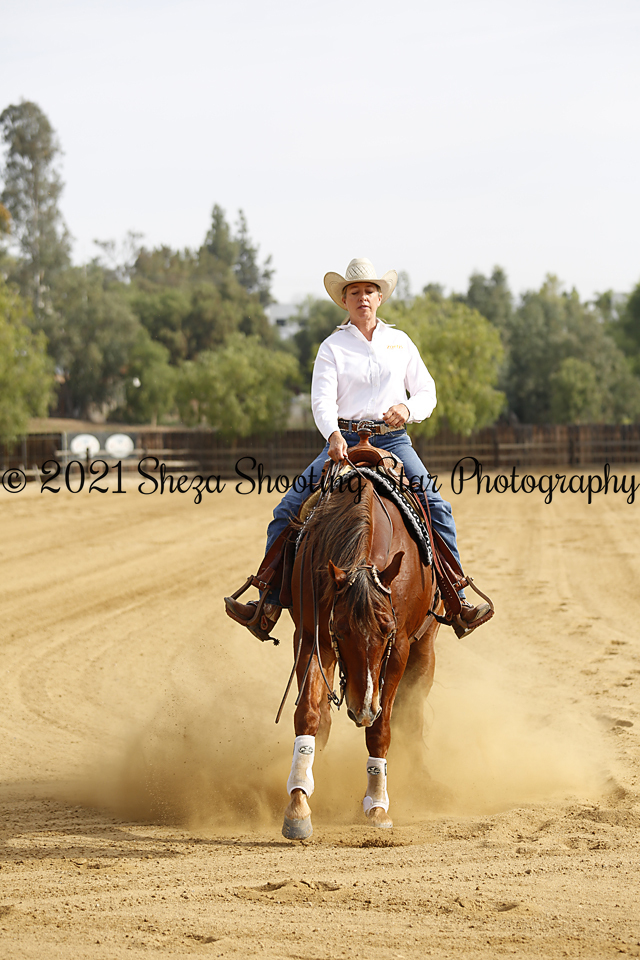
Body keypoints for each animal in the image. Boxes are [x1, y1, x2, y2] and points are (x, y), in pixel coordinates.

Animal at [280, 432, 442, 840]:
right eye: (341, 629)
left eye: (386, 631)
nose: (362, 708)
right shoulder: (312, 637)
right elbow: (309, 714)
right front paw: (298, 802)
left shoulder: (399, 648)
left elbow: (382, 729)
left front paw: (377, 805)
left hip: (425, 648)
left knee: (411, 713)